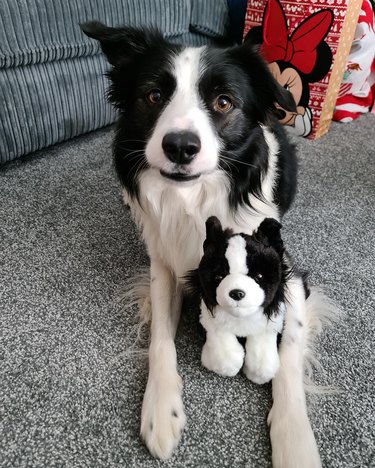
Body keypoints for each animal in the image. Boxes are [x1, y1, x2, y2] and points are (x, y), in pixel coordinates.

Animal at [82, 22, 324, 468]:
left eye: (223, 101)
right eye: (154, 96)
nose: (179, 146)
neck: (193, 198)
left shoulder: (289, 273)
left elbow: (288, 352)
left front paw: (295, 439)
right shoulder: (165, 265)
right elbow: (161, 337)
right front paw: (161, 411)